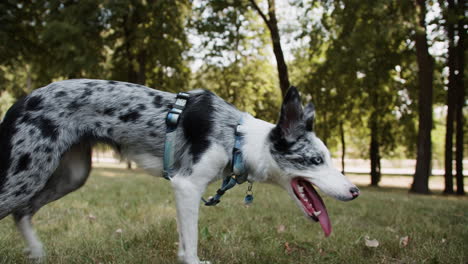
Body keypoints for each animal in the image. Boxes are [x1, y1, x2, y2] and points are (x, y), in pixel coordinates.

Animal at [0, 79, 360, 264]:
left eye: (329, 158)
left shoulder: (184, 192)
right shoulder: (187, 186)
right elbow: (192, 246)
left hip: (70, 175)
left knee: (22, 213)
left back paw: (37, 253)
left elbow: (185, 243)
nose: (356, 191)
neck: (238, 138)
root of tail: (20, 101)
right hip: (28, 172)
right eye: (316, 160)